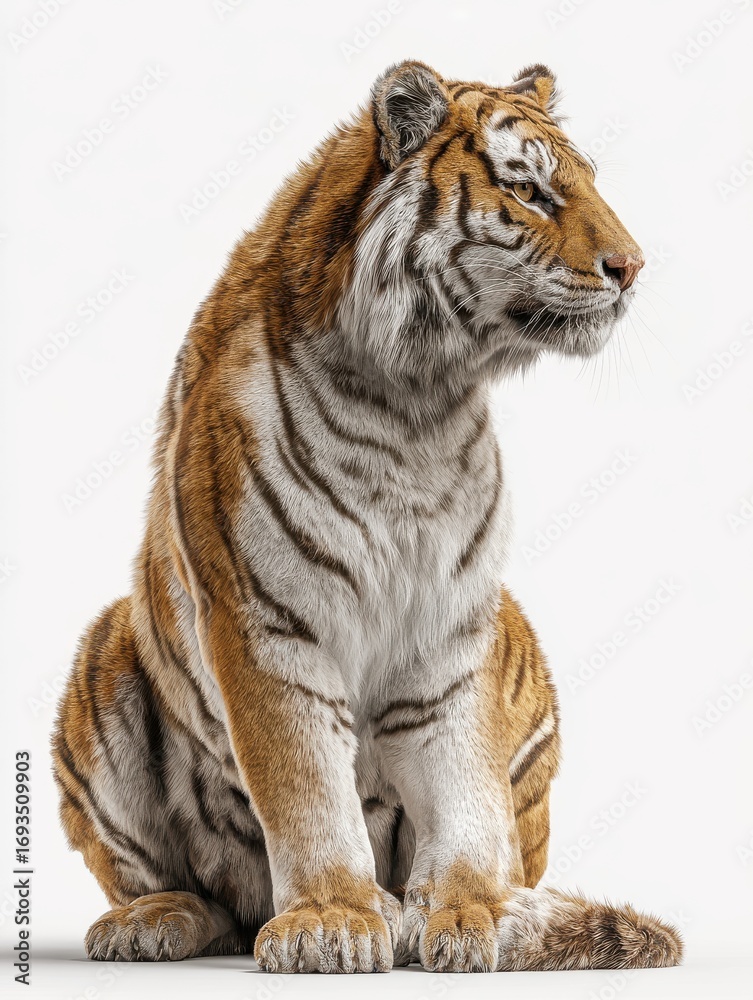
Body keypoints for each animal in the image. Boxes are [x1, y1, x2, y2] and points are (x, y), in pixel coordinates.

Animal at [52, 60, 682, 974]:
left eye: (590, 183)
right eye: (527, 190)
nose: (630, 266)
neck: (417, 407)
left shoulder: (452, 630)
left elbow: (462, 789)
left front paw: (468, 915)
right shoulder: (267, 620)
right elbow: (306, 786)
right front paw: (330, 920)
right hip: (106, 654)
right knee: (191, 891)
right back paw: (158, 919)